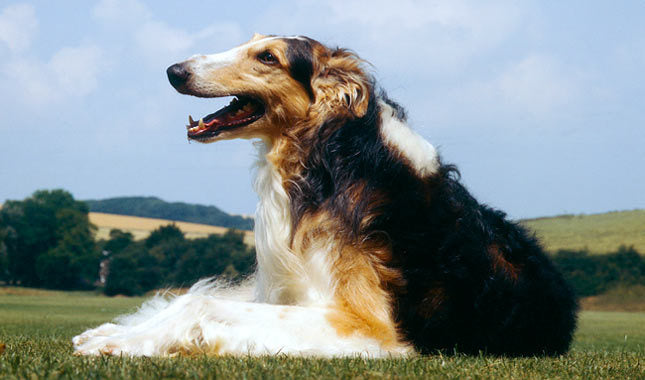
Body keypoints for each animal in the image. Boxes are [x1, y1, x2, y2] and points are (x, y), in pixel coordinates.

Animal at [73, 34, 576, 358]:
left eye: (267, 56)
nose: (174, 71)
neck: (328, 158)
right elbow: (192, 300)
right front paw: (117, 338)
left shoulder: (364, 325)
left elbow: (203, 305)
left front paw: (126, 345)